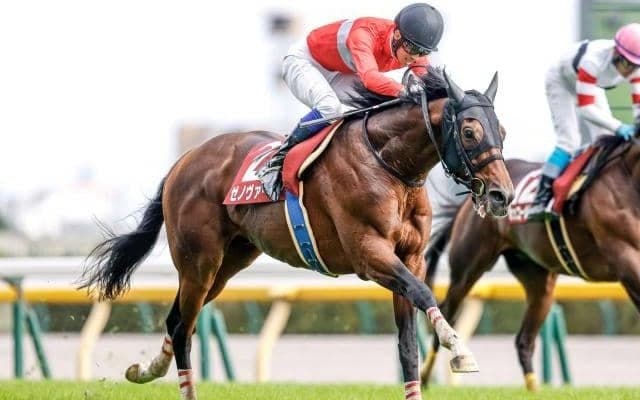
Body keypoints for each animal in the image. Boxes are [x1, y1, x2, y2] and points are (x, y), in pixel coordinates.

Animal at [78, 66, 514, 400]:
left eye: (503, 131)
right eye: (471, 132)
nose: (502, 194)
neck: (388, 164)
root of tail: (184, 160)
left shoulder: (410, 258)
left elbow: (408, 344)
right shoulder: (369, 255)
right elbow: (425, 294)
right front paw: (460, 349)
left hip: (229, 262)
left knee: (176, 320)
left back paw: (145, 370)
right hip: (198, 261)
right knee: (184, 328)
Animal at [420, 134, 640, 391]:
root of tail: (470, 199)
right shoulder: (625, 258)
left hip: (539, 282)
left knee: (524, 339)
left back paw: (534, 390)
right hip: (467, 268)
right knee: (446, 314)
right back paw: (424, 379)